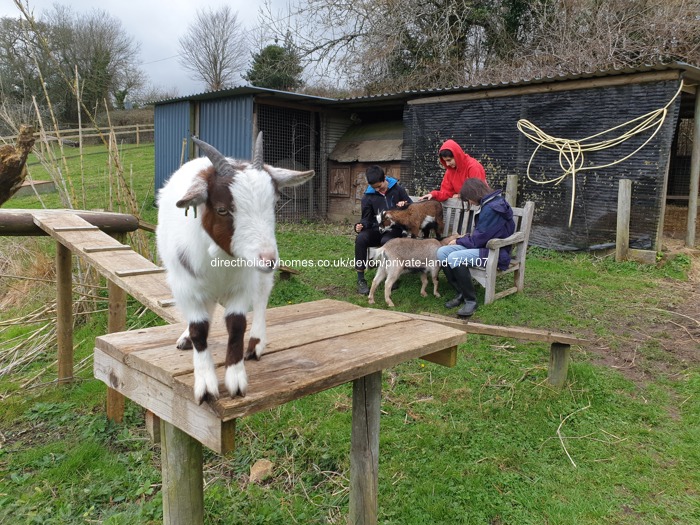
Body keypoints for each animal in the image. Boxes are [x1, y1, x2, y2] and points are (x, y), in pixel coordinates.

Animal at [157, 134, 316, 402]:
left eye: (274, 204)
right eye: (222, 209)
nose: (268, 259)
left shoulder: (242, 284)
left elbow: (237, 325)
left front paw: (236, 380)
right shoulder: (186, 285)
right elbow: (199, 328)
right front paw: (206, 385)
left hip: (259, 275)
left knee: (262, 297)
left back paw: (256, 343)